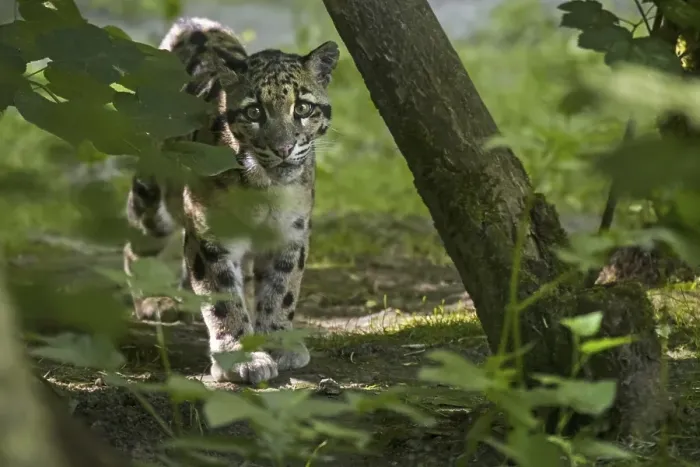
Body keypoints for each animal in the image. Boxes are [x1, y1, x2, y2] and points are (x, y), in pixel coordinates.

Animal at [122, 17, 339, 384]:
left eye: (303, 107)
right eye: (254, 112)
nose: (283, 148)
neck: (264, 187)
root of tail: (195, 24)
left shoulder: (290, 236)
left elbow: (281, 291)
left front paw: (277, 341)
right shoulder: (211, 236)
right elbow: (222, 297)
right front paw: (242, 356)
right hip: (152, 194)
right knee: (137, 244)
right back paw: (155, 300)